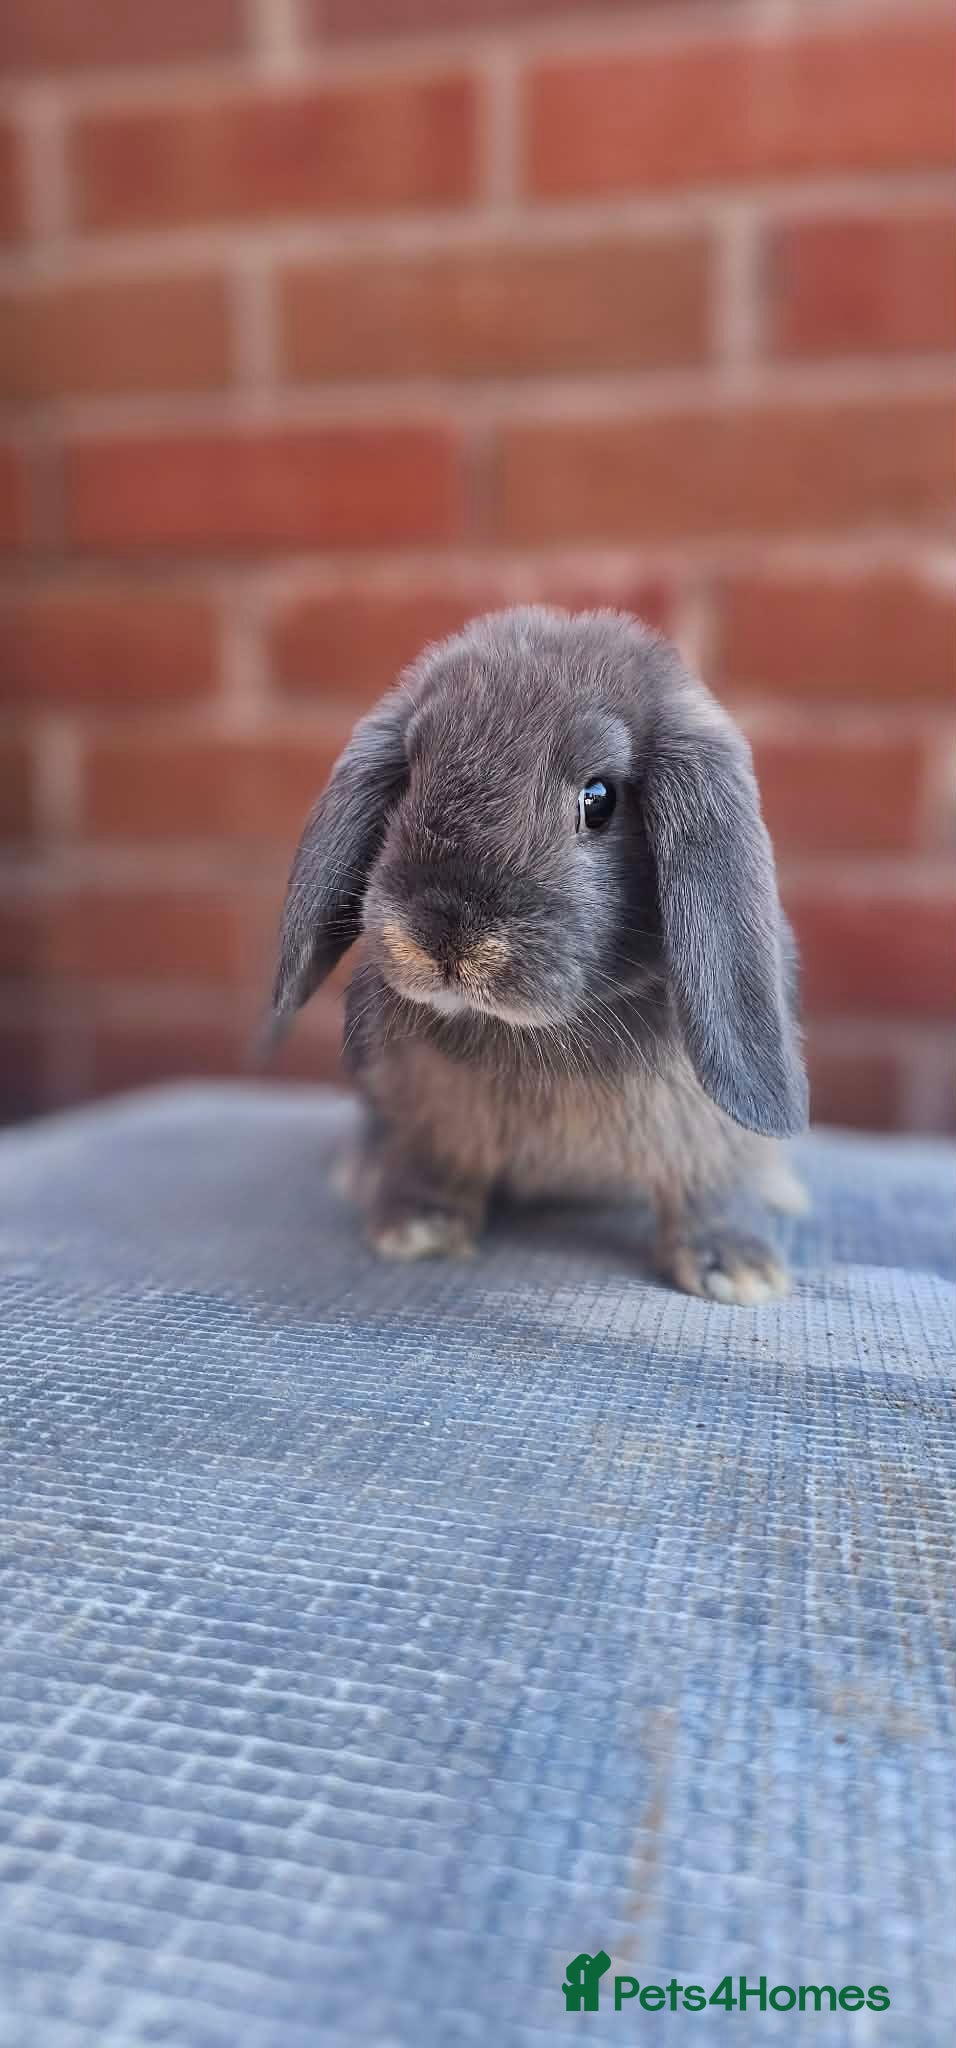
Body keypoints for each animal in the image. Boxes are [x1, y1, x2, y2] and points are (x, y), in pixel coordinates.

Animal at [270, 607, 809, 1304]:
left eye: (599, 799)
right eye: (409, 778)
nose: (445, 939)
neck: (539, 1036)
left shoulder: (704, 1132)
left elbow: (710, 1186)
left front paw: (739, 1270)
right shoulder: (424, 1112)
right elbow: (431, 1160)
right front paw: (416, 1228)